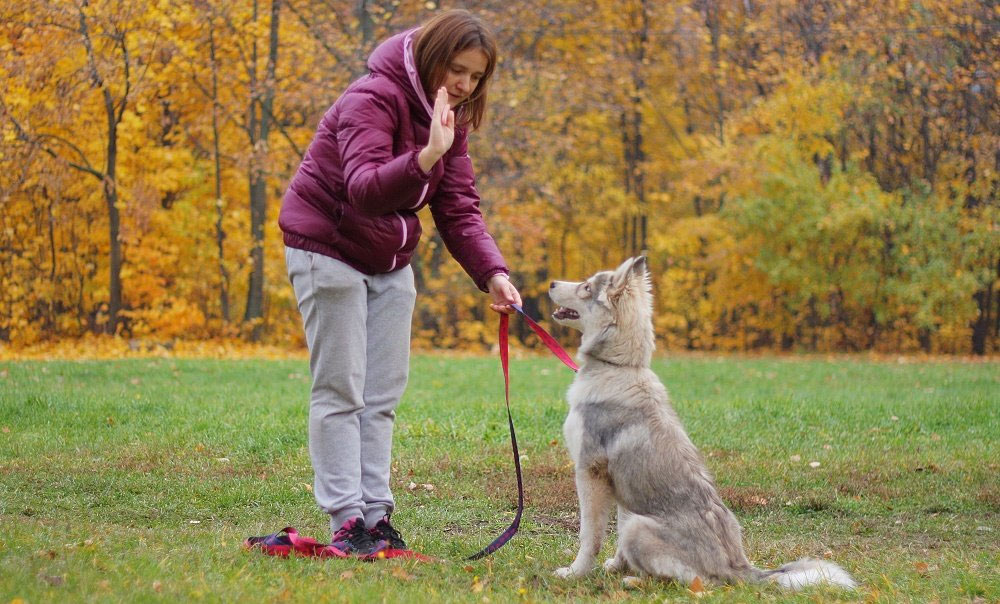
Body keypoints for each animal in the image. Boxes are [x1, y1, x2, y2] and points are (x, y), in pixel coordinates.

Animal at [548, 256, 860, 588]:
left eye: (586, 287)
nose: (551, 283)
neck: (619, 367)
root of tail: (737, 567)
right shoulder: (620, 487)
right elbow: (614, 536)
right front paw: (616, 566)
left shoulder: (589, 472)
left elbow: (589, 536)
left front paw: (575, 573)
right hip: (638, 518)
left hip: (640, 528)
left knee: (697, 582)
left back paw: (636, 581)